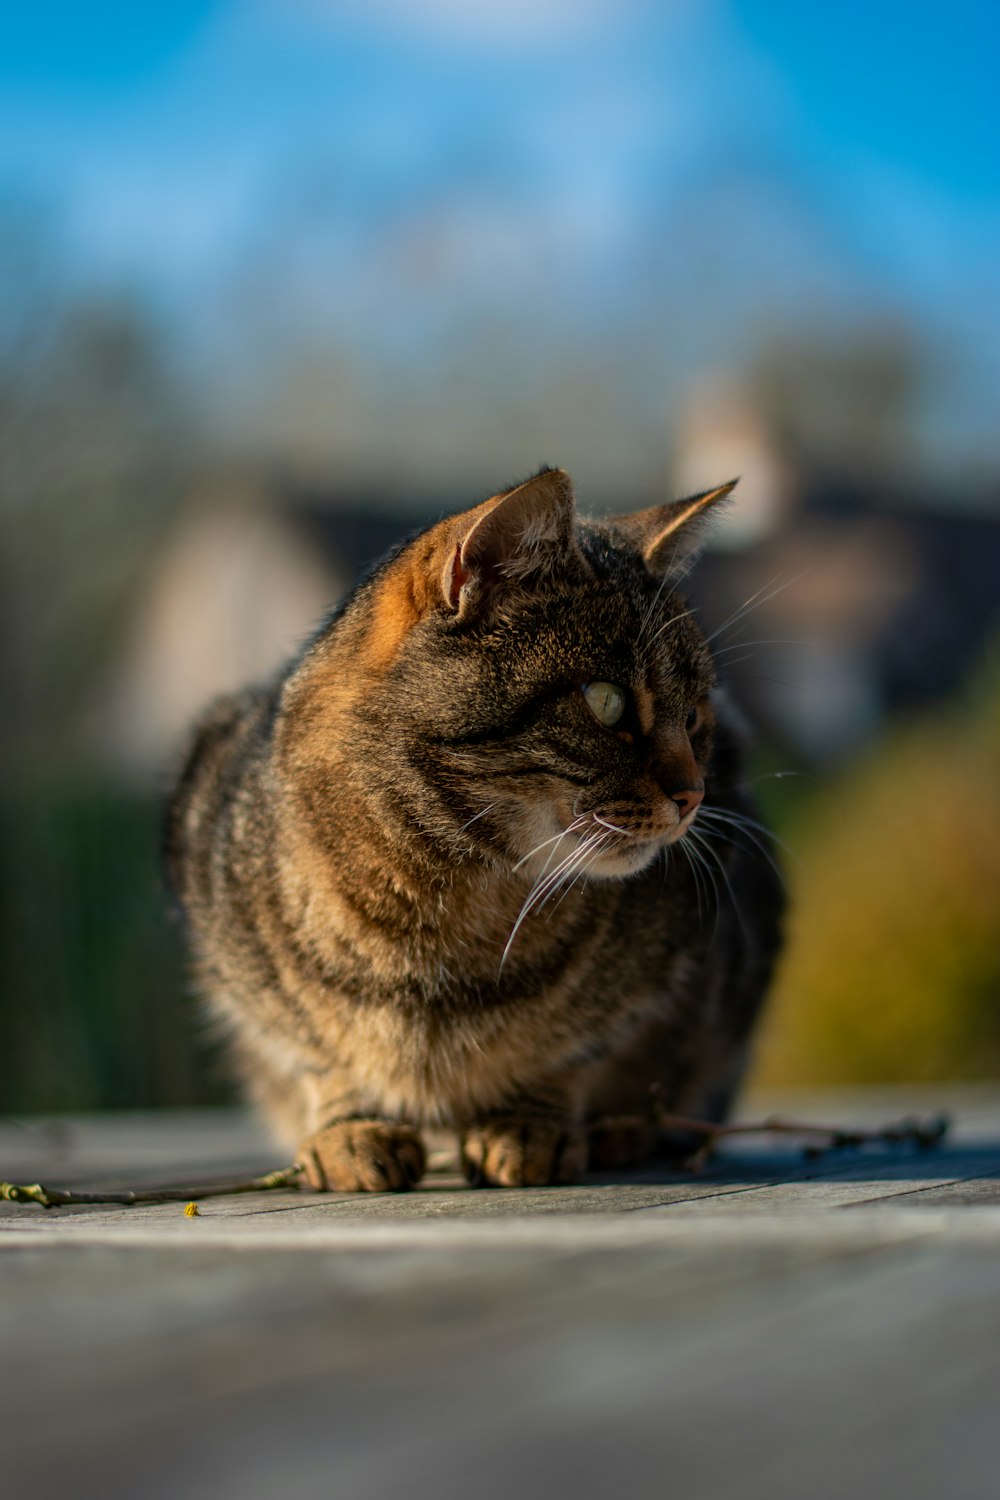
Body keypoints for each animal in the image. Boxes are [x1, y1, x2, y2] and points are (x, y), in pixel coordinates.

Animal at [164, 468, 785, 1194]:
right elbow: (319, 1054)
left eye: (694, 717)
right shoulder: (246, 979)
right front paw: (350, 1128)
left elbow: (575, 1047)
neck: (433, 903)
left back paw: (621, 1129)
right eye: (606, 702)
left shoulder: (663, 976)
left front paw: (530, 1124)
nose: (694, 796)